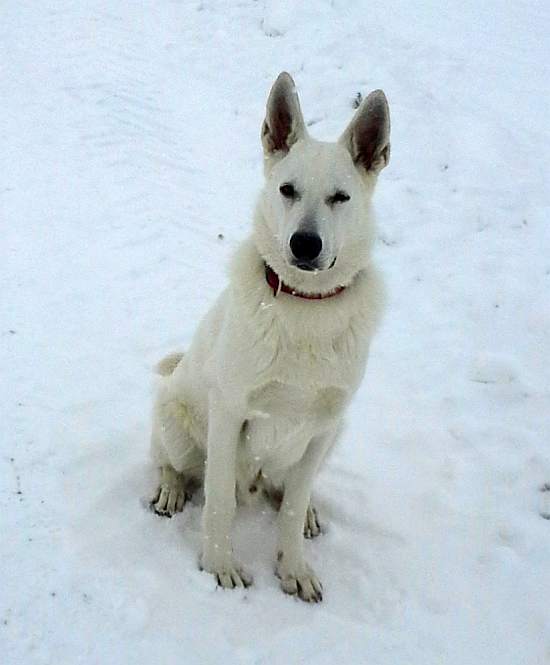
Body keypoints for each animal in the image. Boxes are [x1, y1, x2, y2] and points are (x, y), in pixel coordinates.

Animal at [151, 72, 390, 600]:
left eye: (340, 197)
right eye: (287, 189)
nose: (304, 244)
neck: (306, 307)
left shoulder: (323, 425)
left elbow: (292, 508)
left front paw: (294, 567)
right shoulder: (230, 411)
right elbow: (219, 500)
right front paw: (219, 564)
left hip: (333, 435)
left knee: (291, 492)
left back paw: (310, 513)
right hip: (175, 420)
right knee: (171, 463)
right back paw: (170, 489)